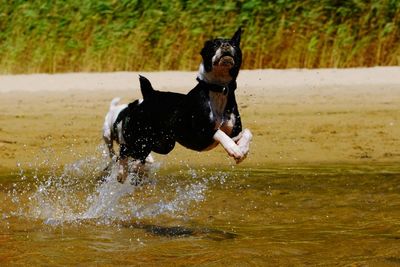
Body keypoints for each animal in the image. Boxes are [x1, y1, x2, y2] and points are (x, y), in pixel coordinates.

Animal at [108, 28, 253, 184]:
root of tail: (150, 94)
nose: (226, 45)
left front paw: (242, 150)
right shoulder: (199, 133)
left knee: (139, 155)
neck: (219, 89)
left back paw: (134, 168)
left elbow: (247, 132)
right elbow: (218, 132)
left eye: (234, 44)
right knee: (124, 149)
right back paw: (121, 173)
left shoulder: (234, 133)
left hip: (161, 144)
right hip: (138, 136)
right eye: (214, 45)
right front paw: (234, 149)